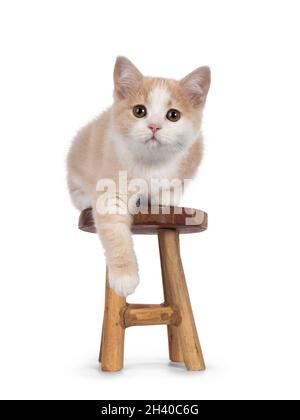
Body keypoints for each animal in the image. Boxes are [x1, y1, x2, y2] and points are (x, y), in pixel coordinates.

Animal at [67, 56, 210, 296]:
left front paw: (164, 197)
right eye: (139, 111)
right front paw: (125, 276)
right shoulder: (111, 189)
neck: (151, 163)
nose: (154, 126)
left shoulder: (193, 154)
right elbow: (115, 233)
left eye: (173, 115)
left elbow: (172, 188)